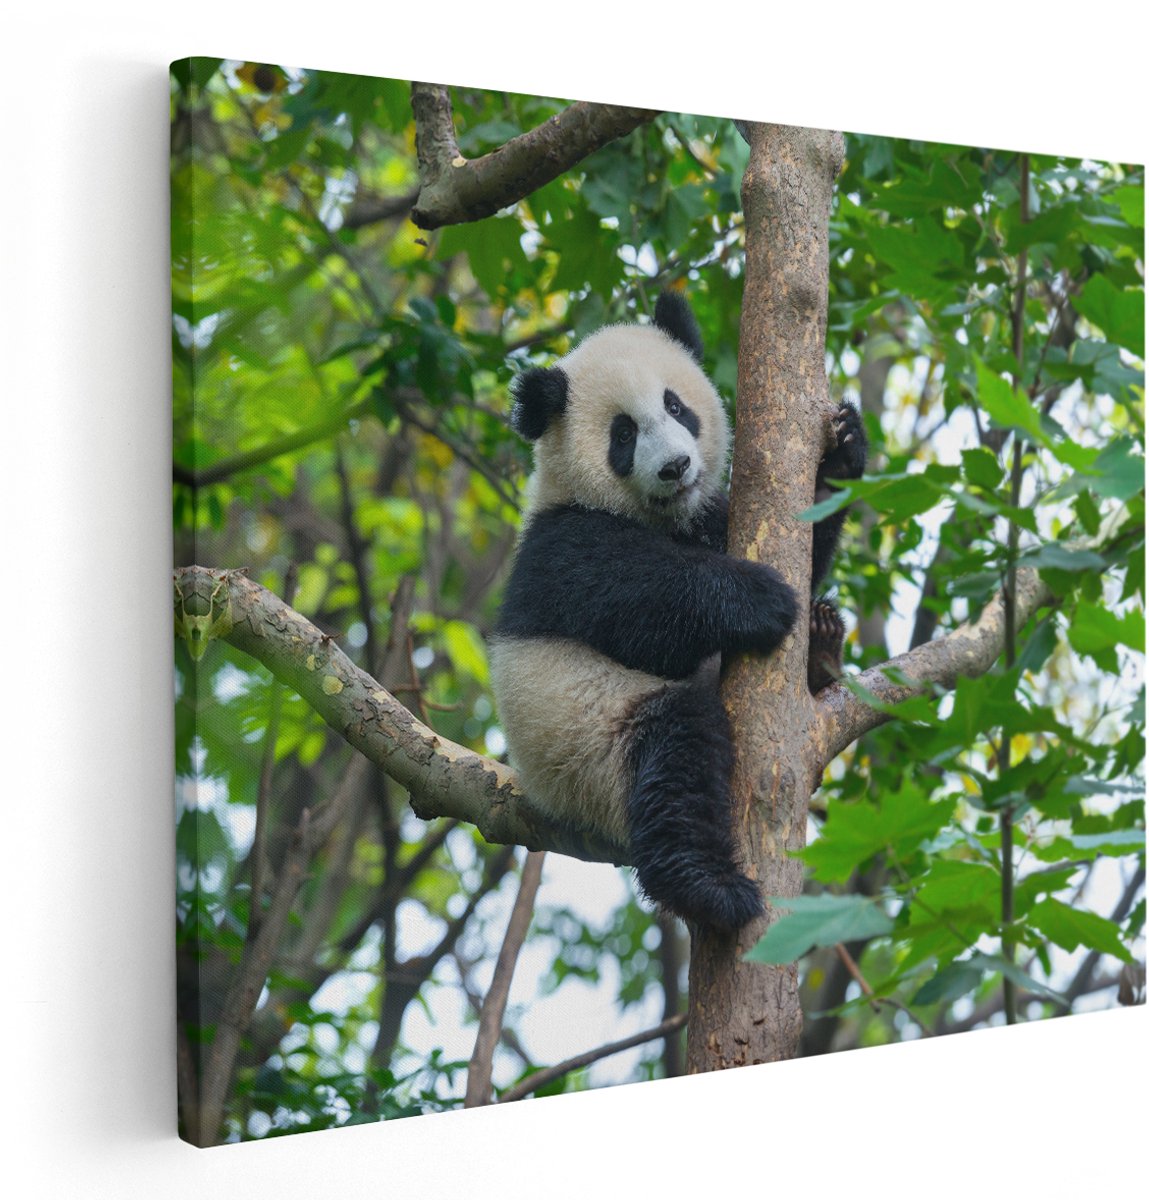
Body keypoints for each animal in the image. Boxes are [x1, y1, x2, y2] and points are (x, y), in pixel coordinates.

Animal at [488, 293, 865, 932]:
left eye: (675, 405)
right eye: (623, 434)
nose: (675, 467)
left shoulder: (706, 519)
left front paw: (840, 451)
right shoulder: (562, 545)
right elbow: (642, 606)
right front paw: (761, 599)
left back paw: (821, 643)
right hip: (590, 746)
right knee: (676, 754)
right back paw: (710, 888)